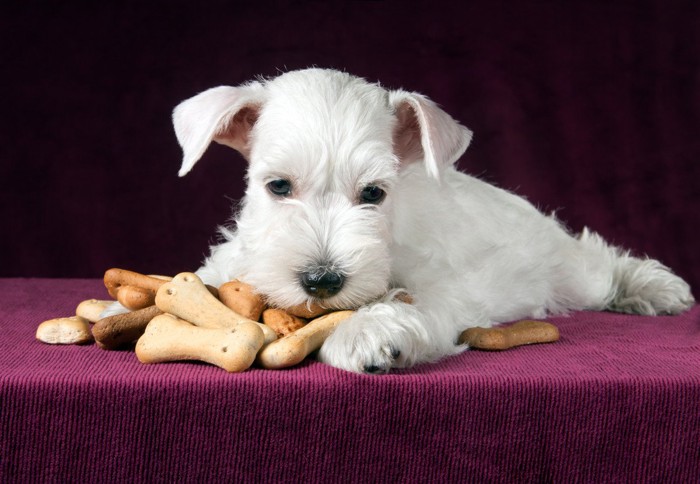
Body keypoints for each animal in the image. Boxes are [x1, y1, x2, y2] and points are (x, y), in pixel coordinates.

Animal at [171, 68, 696, 372]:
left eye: (374, 193)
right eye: (278, 186)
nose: (322, 281)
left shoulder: (443, 288)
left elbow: (409, 305)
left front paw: (366, 333)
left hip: (572, 271)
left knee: (601, 262)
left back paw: (656, 288)